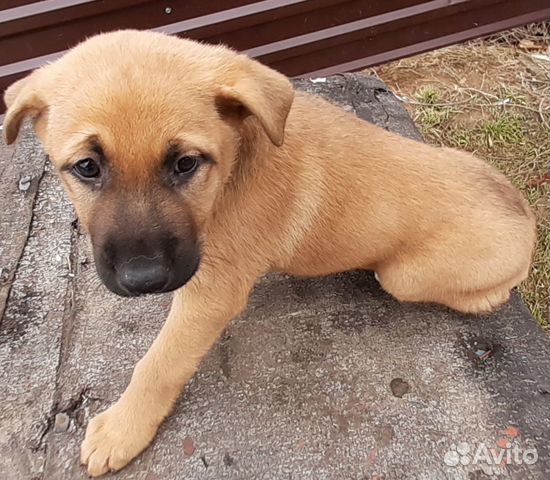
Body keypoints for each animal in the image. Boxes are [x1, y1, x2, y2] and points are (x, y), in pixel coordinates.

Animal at [3, 30, 540, 476]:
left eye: (185, 164)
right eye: (87, 167)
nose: (144, 280)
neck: (235, 163)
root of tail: (528, 219)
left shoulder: (212, 293)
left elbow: (158, 363)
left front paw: (123, 428)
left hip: (405, 278)